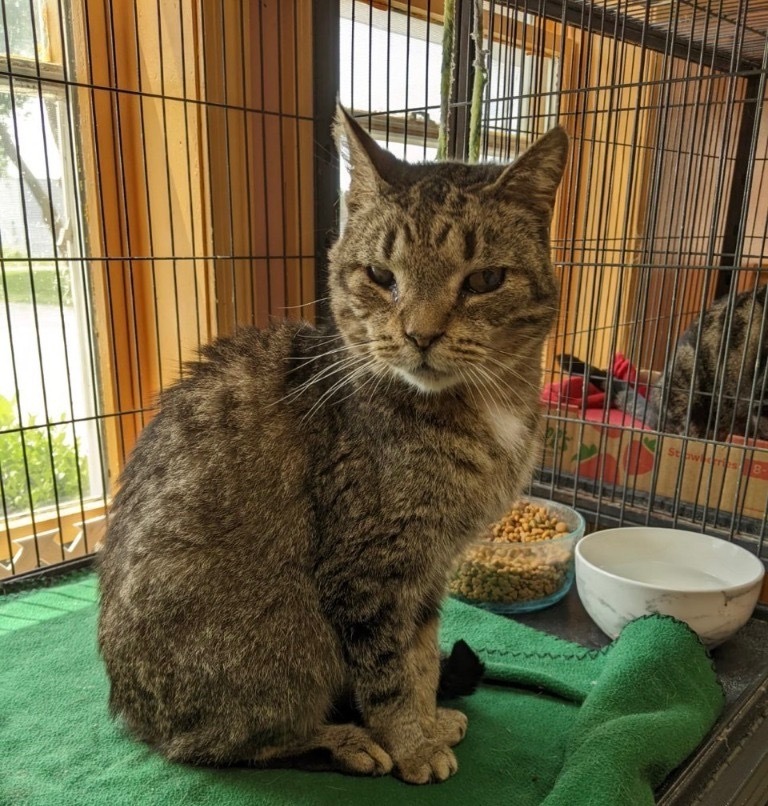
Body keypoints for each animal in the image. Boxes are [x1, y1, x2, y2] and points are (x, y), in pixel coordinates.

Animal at [96, 105, 568, 784]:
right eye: (380, 276)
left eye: (485, 279)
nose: (420, 334)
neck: (485, 411)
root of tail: (132, 716)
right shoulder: (370, 570)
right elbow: (391, 672)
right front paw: (411, 743)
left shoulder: (429, 570)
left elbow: (422, 659)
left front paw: (428, 720)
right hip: (289, 649)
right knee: (220, 744)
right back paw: (340, 739)